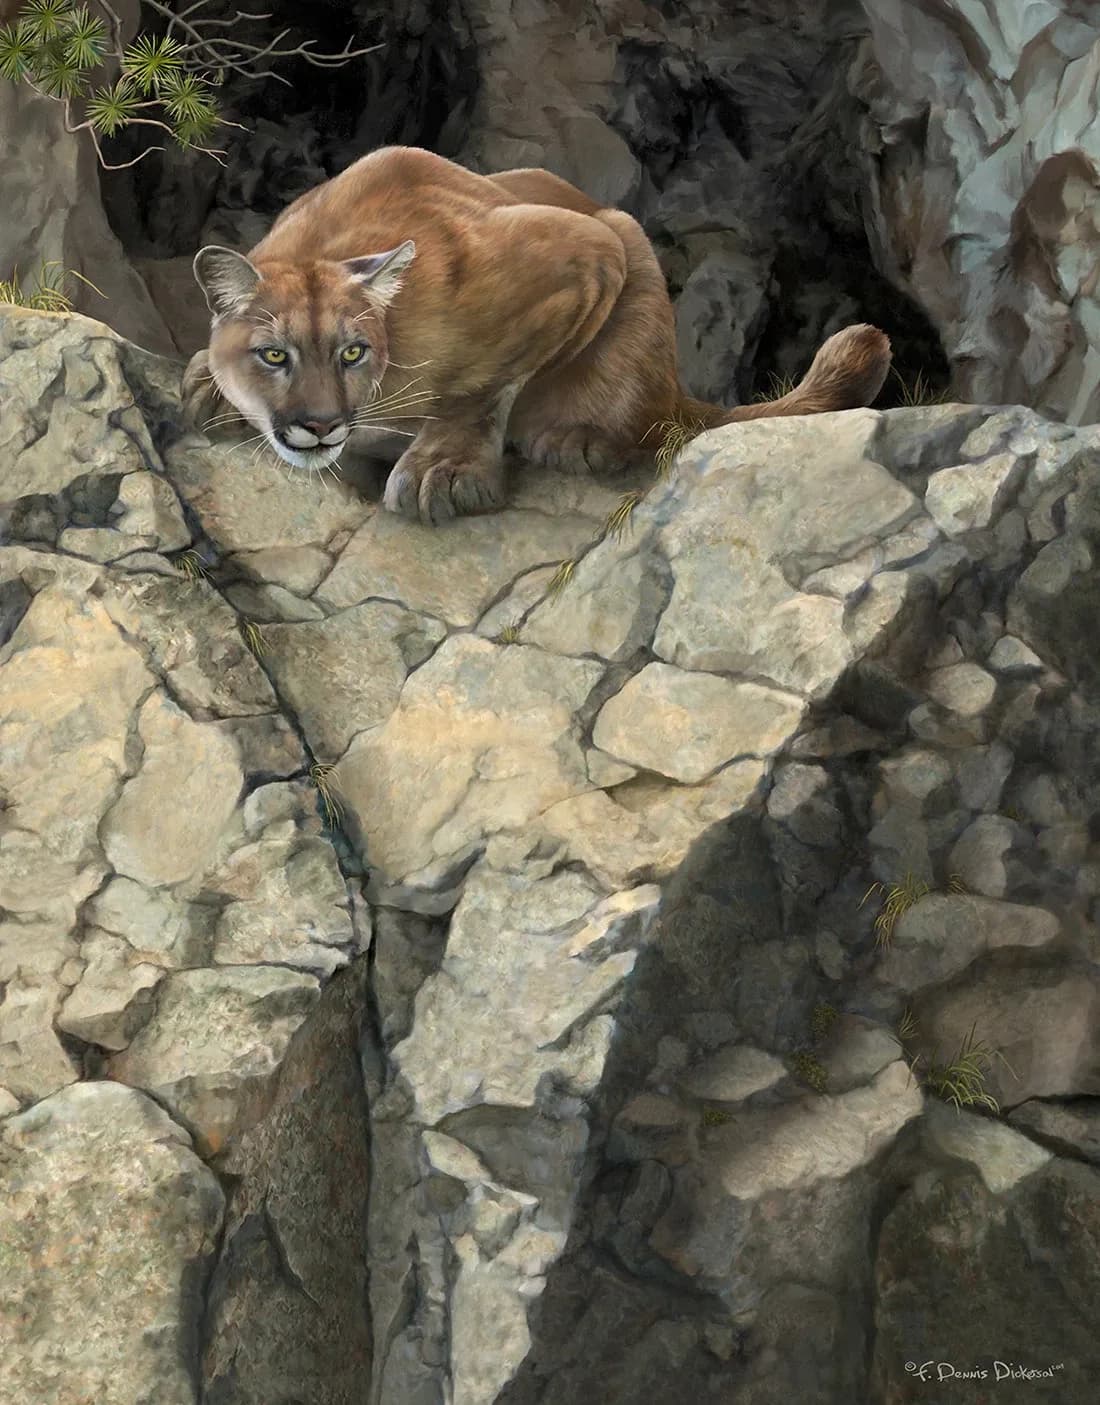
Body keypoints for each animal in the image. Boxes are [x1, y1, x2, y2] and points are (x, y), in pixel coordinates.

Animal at [182, 145, 891, 525]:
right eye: (274, 355)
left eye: (352, 352)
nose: (321, 425)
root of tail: (674, 385)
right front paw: (207, 387)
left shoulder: (586, 251)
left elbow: (481, 383)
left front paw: (445, 465)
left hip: (631, 248)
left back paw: (581, 438)